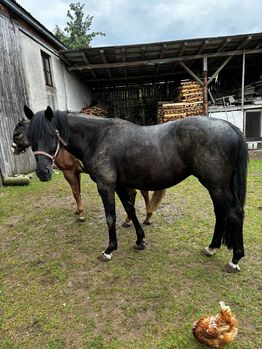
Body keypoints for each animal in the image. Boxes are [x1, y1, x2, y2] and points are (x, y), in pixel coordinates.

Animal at [12, 113, 165, 224]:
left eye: (18, 135)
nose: (13, 149)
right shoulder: (77, 172)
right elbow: (78, 191)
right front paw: (78, 211)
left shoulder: (69, 172)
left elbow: (75, 192)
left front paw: (81, 214)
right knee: (142, 192)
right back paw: (146, 216)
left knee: (136, 193)